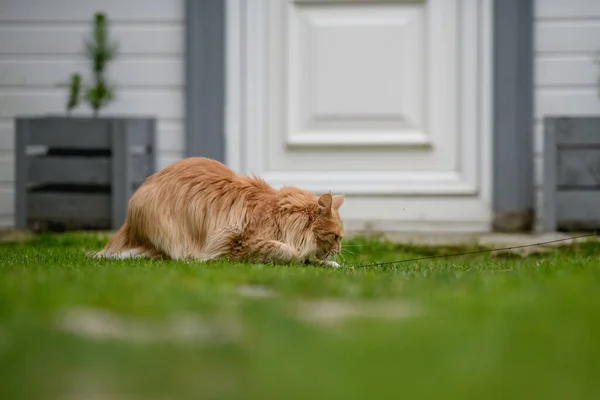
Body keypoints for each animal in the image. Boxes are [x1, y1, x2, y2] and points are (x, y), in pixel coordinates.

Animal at [95, 158, 344, 268]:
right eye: (336, 237)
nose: (340, 249)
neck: (279, 213)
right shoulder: (239, 242)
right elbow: (288, 252)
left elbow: (311, 258)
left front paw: (333, 264)